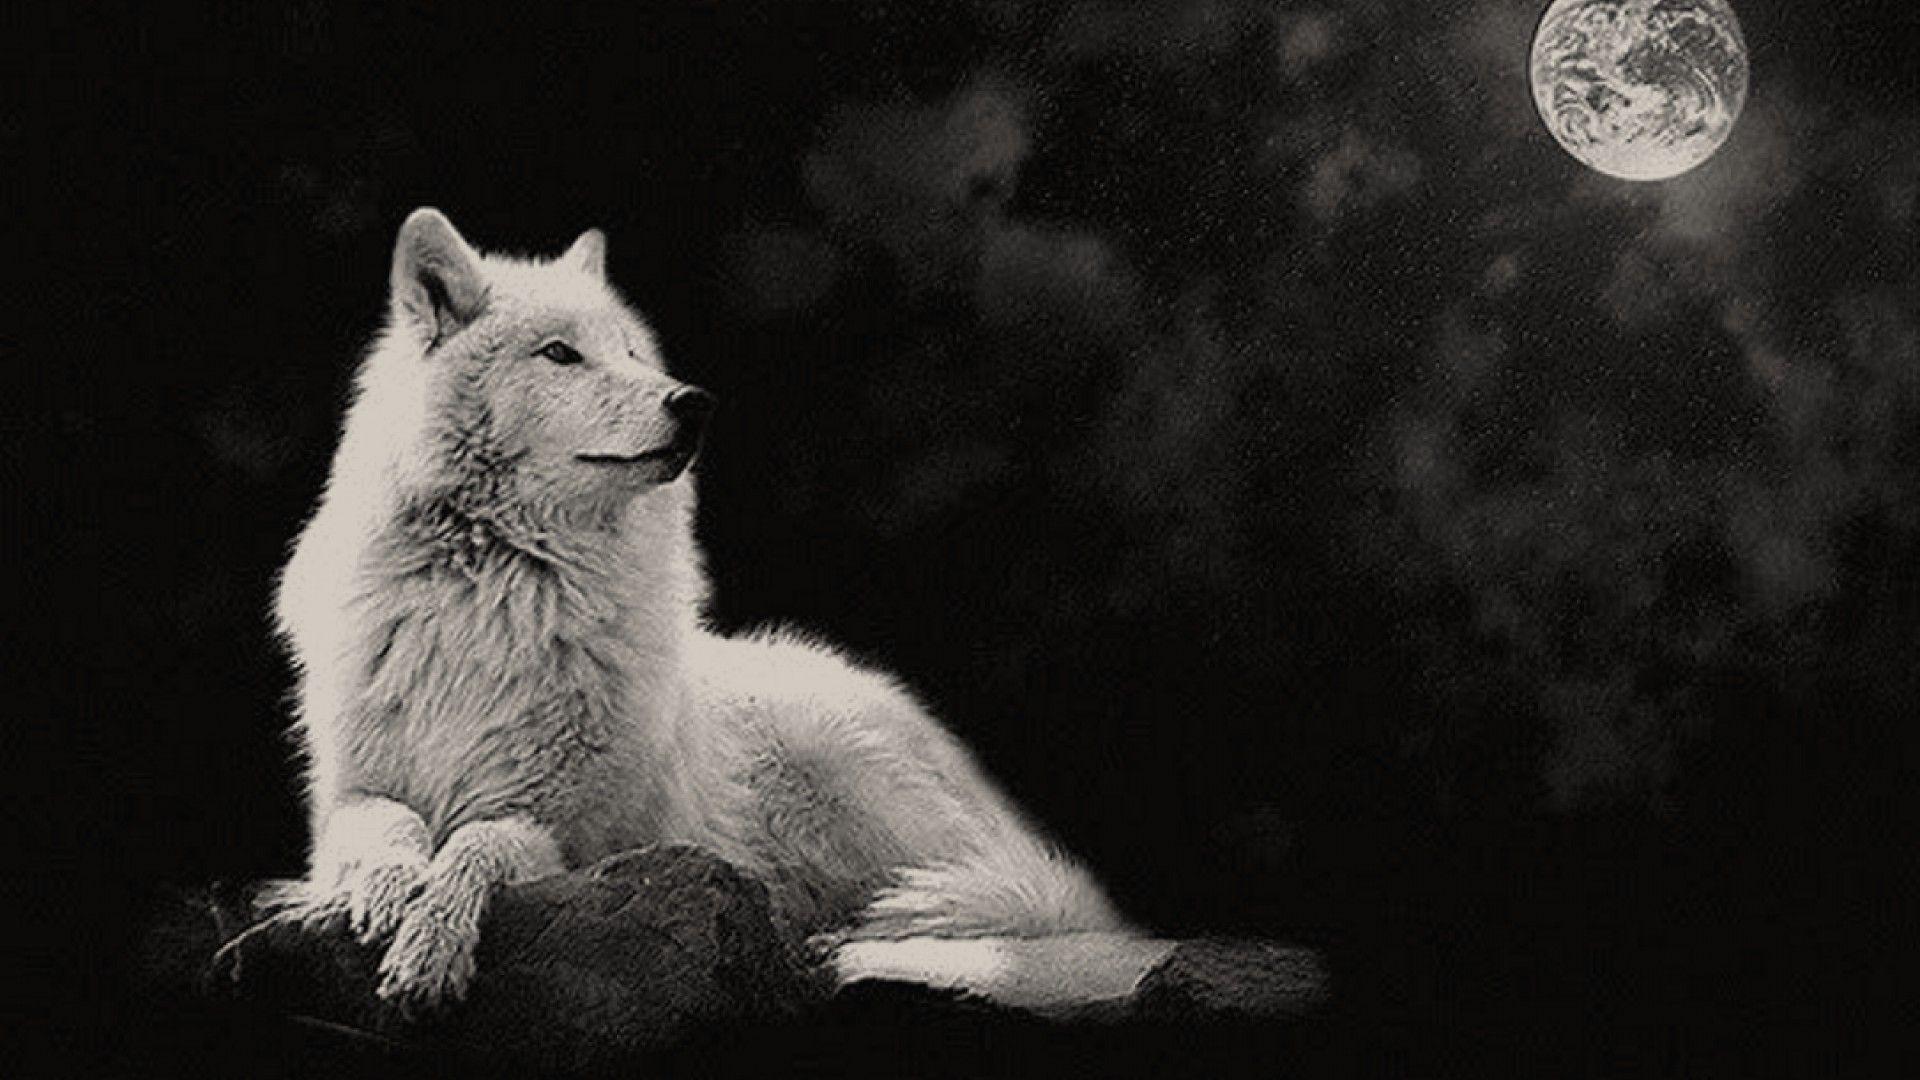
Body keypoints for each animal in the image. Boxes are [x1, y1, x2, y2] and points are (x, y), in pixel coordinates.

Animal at [254, 208, 1175, 1014]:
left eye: (633, 353)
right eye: (560, 354)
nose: (692, 403)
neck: (504, 593)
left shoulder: (577, 832)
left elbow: (477, 848)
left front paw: (431, 946)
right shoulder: (349, 798)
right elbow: (388, 830)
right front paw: (387, 899)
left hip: (840, 771)